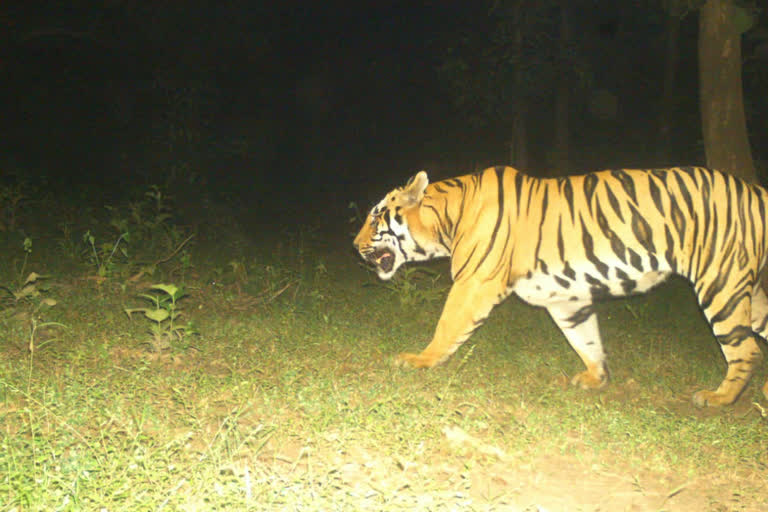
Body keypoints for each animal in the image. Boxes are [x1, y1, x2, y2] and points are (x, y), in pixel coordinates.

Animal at [352, 166, 768, 406]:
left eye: (374, 218)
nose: (354, 246)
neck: (447, 219)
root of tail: (755, 190)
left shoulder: (474, 282)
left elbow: (446, 326)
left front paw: (419, 359)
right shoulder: (565, 298)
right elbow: (586, 339)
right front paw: (596, 378)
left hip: (720, 283)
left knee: (746, 349)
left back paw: (717, 398)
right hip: (751, 293)